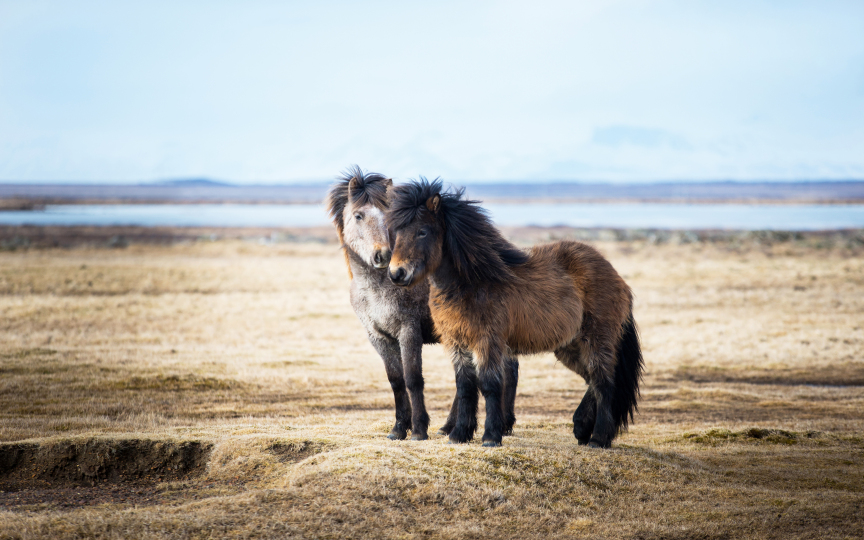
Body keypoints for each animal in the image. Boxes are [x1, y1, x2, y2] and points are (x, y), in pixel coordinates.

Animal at [388, 178, 644, 448]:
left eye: (422, 231)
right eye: (397, 232)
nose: (396, 273)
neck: (473, 282)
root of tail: (617, 278)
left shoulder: (487, 341)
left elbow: (490, 385)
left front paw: (491, 437)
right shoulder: (457, 343)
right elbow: (465, 387)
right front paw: (459, 435)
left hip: (597, 340)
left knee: (605, 383)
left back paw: (598, 438)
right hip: (569, 346)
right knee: (592, 381)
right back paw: (582, 428)